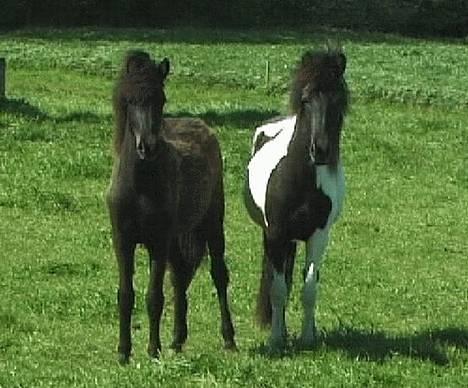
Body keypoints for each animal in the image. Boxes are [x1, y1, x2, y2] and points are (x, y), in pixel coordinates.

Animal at [107, 50, 236, 364]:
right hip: (178, 239)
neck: (140, 187)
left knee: (218, 275)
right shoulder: (123, 241)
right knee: (179, 278)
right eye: (130, 100)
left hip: (212, 225)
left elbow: (154, 297)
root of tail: (204, 128)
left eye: (161, 99)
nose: (147, 146)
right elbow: (126, 295)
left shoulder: (158, 242)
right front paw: (123, 352)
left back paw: (228, 339)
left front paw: (153, 350)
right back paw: (178, 340)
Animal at [245, 47, 348, 348]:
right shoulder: (276, 233)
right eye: (306, 99)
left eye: (339, 100)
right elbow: (278, 289)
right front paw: (276, 339)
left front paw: (307, 337)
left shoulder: (318, 235)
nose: (321, 151)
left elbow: (310, 286)